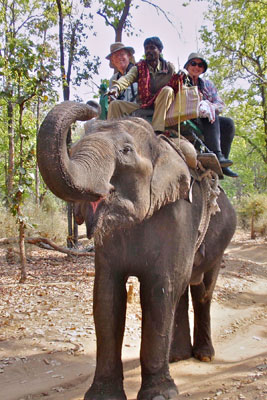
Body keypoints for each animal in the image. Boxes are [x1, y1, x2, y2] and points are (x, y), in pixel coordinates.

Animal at [37, 101, 237, 400]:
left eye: (126, 151)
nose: (91, 107)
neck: (160, 145)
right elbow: (107, 296)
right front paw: (102, 396)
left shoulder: (177, 214)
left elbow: (159, 291)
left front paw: (160, 395)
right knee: (181, 292)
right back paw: (177, 357)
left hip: (221, 239)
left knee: (202, 289)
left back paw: (203, 356)